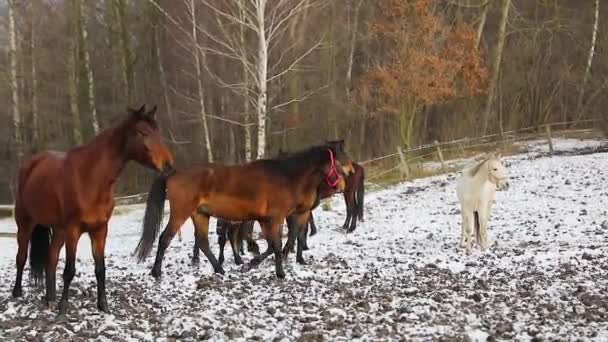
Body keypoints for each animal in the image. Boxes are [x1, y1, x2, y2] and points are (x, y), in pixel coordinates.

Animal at [11, 105, 173, 314]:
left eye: (157, 132)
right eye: (142, 132)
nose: (168, 165)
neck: (90, 177)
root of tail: (31, 164)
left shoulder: (100, 230)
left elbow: (100, 269)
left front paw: (103, 305)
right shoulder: (73, 230)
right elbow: (69, 270)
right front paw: (64, 307)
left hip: (59, 230)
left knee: (51, 258)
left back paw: (50, 298)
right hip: (26, 222)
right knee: (21, 257)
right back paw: (18, 293)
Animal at [132, 141, 352, 278]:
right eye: (341, 158)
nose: (348, 176)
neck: (285, 176)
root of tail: (174, 173)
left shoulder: (265, 220)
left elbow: (271, 246)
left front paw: (251, 263)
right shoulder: (276, 218)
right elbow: (277, 245)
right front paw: (279, 273)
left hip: (200, 214)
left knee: (202, 242)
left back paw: (219, 269)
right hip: (181, 213)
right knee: (165, 238)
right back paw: (156, 272)